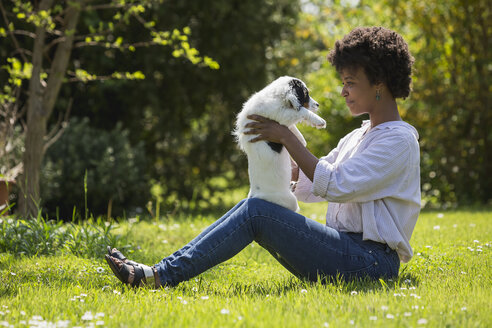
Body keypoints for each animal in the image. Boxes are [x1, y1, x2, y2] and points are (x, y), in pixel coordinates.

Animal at [234, 75, 326, 211]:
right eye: (306, 94)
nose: (318, 105)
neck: (276, 96)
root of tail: (254, 195)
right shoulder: (279, 114)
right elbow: (300, 112)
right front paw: (319, 121)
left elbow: (292, 127)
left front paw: (301, 139)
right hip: (290, 201)